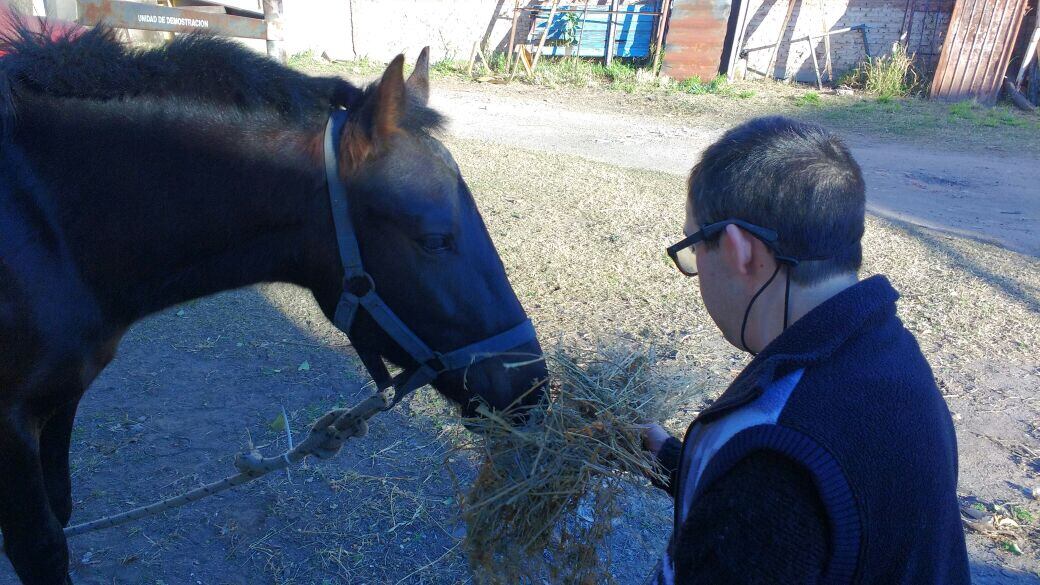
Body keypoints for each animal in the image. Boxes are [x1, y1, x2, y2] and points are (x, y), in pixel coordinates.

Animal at [0, 18, 544, 582]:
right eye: (435, 239)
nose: (532, 386)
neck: (50, 224)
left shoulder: (62, 400)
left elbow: (62, 510)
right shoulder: (11, 426)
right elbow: (42, 545)